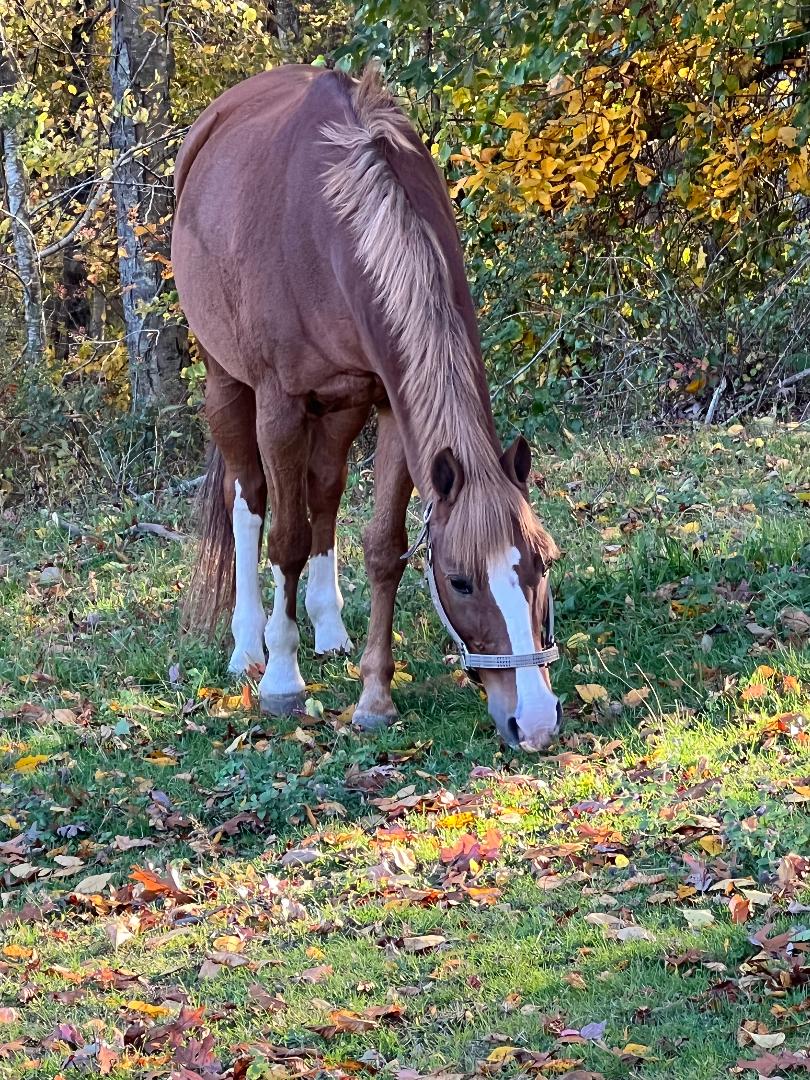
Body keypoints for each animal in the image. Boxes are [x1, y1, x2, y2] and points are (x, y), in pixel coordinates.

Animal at [172, 61, 565, 751]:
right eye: (460, 580)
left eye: (541, 564)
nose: (536, 721)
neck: (331, 223)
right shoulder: (279, 406)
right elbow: (286, 540)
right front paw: (283, 682)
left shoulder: (390, 404)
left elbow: (383, 546)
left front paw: (375, 698)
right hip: (227, 384)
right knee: (249, 500)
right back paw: (248, 647)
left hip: (340, 407)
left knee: (324, 489)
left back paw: (327, 629)